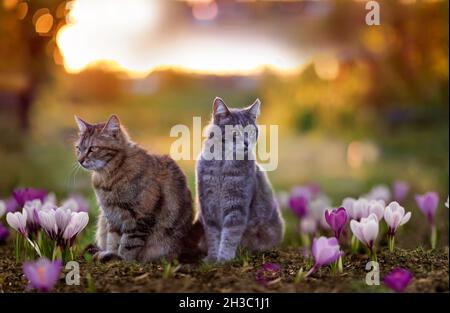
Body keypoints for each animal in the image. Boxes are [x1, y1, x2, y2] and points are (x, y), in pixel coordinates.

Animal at [75, 114, 199, 260]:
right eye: (78, 148)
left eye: (93, 148)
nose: (80, 160)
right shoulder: (111, 217)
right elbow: (113, 240)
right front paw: (111, 254)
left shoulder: (138, 217)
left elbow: (128, 244)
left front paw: (121, 259)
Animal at [197, 97, 284, 260]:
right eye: (234, 132)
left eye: (251, 131)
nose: (246, 142)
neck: (223, 164)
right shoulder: (207, 204)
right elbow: (212, 234)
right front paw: (212, 258)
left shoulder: (237, 205)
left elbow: (230, 235)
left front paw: (223, 259)